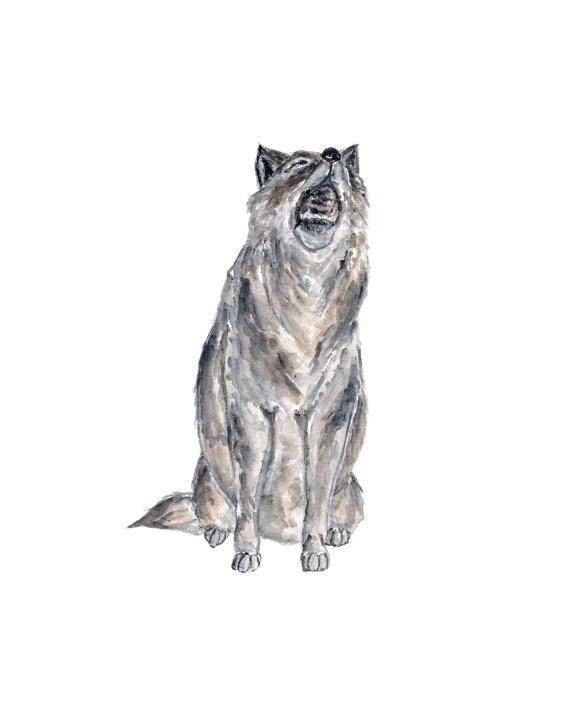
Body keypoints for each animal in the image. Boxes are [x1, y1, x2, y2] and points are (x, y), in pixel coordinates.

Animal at [130, 145, 369, 572]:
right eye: (298, 165)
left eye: (340, 162)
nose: (332, 154)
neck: (307, 293)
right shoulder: (250, 413)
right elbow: (248, 497)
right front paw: (246, 551)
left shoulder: (331, 417)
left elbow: (318, 497)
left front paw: (315, 550)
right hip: (206, 476)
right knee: (215, 509)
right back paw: (217, 532)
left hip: (351, 486)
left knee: (340, 506)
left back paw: (335, 531)